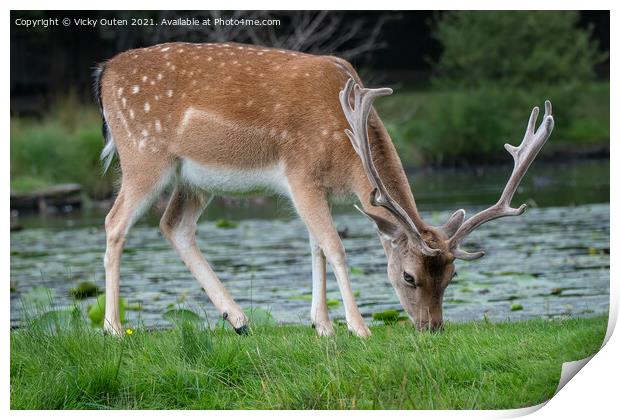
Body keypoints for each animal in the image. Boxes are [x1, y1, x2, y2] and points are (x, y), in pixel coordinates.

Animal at [94, 41, 556, 338]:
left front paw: (322, 326)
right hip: (143, 154)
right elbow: (335, 246)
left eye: (452, 275)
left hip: (194, 179)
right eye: (409, 276)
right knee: (114, 222)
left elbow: (315, 246)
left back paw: (239, 319)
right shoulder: (300, 173)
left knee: (174, 226)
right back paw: (114, 328)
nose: (432, 328)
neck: (346, 150)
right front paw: (358, 327)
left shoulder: (316, 189)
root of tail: (103, 74)